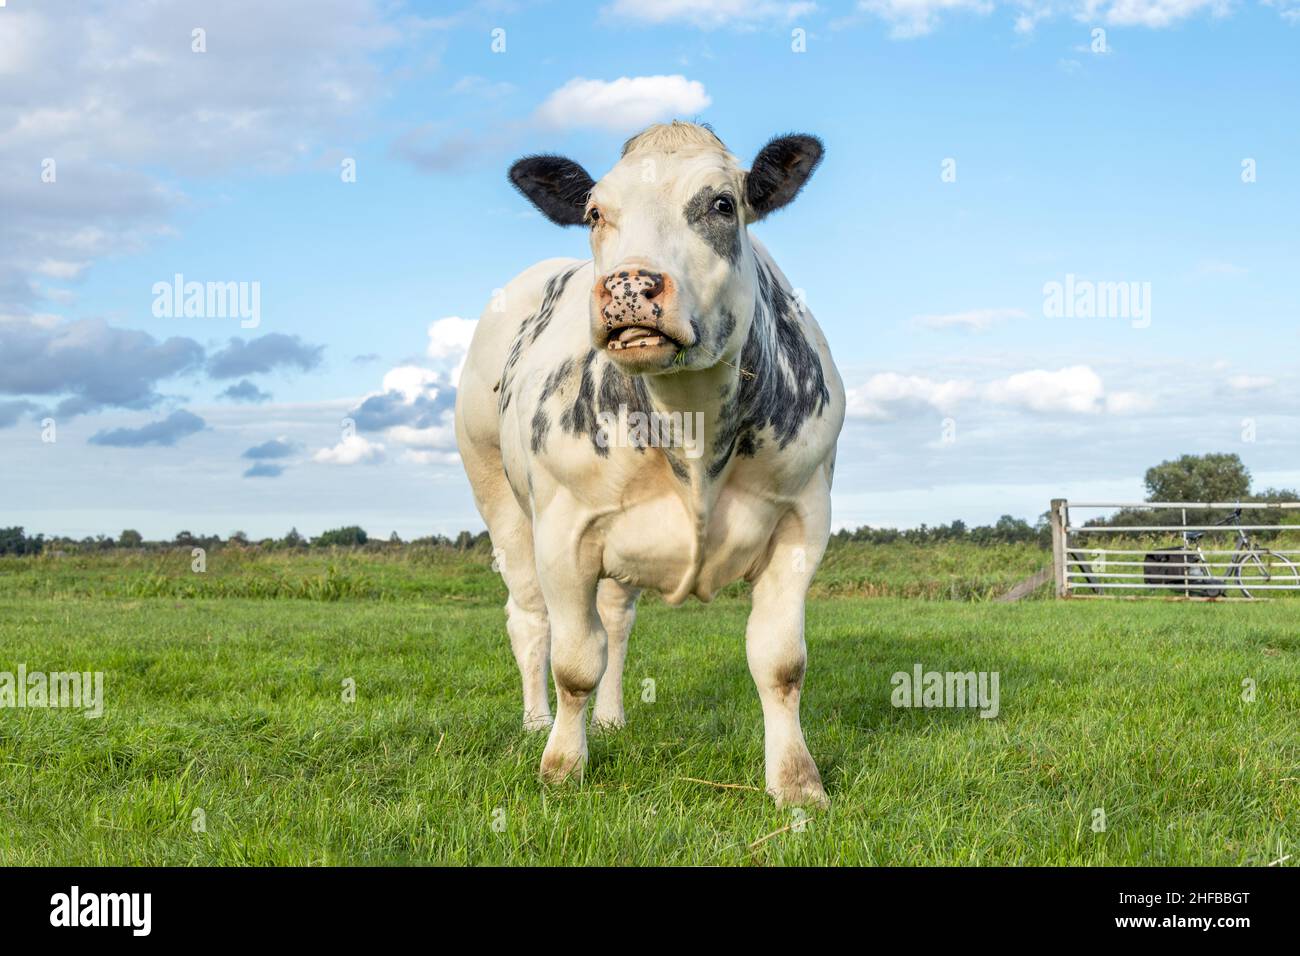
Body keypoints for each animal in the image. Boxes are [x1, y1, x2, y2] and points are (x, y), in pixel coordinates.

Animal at [454, 119, 842, 806]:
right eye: (594, 211)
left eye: (722, 204)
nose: (628, 287)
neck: (692, 428)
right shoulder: (564, 530)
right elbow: (574, 663)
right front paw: (562, 767)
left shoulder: (804, 518)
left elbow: (780, 662)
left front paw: (797, 784)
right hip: (496, 495)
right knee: (529, 618)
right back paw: (535, 723)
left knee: (615, 620)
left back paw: (611, 718)